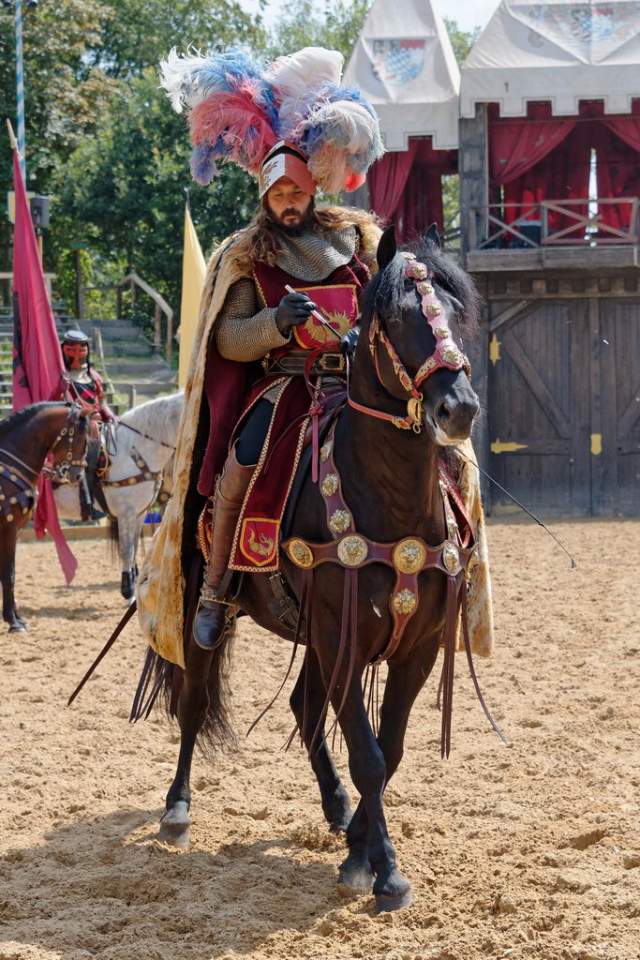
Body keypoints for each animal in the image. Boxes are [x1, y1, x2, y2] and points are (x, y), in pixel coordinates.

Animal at [0, 402, 91, 632]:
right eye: (81, 437)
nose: (78, 475)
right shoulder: (8, 528)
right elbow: (8, 573)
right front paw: (13, 622)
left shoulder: (15, 531)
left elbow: (9, 572)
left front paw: (16, 617)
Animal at [54, 392, 183, 600]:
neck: (135, 449)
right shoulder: (125, 514)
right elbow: (127, 551)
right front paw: (127, 591)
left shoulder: (139, 514)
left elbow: (134, 549)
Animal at [153, 227, 484, 912]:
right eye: (396, 318)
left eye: (453, 313)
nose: (458, 408)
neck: (389, 505)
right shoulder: (343, 638)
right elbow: (369, 756)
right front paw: (385, 872)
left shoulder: (412, 648)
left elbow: (389, 748)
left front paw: (358, 848)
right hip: (209, 609)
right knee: (195, 700)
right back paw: (177, 809)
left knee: (305, 707)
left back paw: (335, 807)